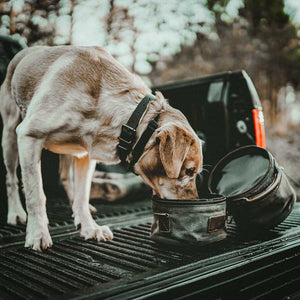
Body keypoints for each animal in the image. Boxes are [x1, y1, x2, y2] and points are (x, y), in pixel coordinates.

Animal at [0, 45, 202, 251]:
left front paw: (89, 227)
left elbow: (82, 195)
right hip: (10, 135)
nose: (194, 203)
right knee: (11, 178)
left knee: (66, 178)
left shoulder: (85, 155)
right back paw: (16, 212)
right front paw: (38, 233)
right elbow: (36, 195)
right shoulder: (29, 136)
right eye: (189, 171)